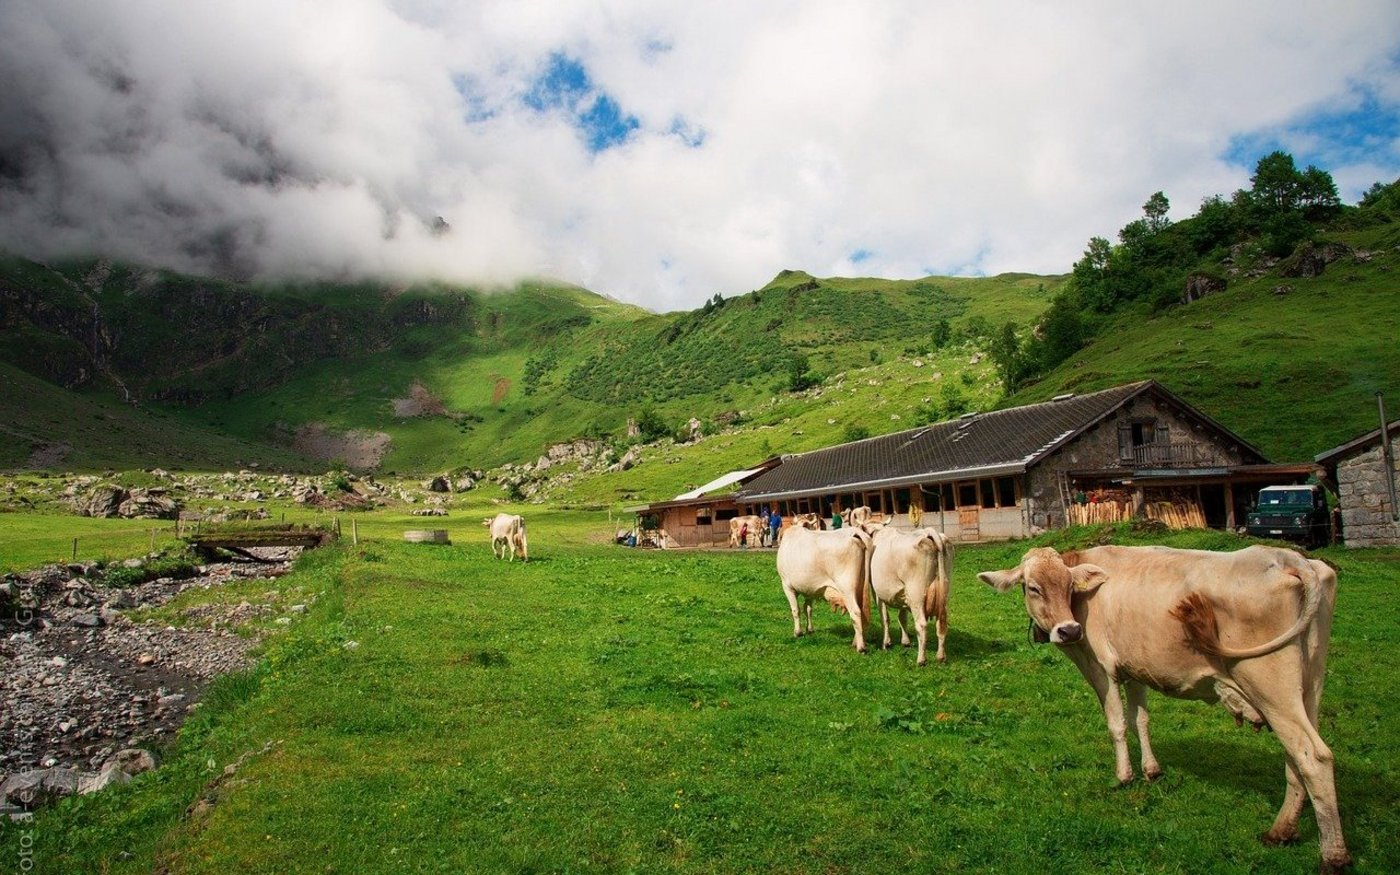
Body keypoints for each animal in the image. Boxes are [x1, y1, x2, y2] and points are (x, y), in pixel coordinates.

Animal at [869, 527, 952, 665]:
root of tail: (928, 532)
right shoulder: (903, 594)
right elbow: (902, 617)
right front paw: (905, 641)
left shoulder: (877, 594)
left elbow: (885, 618)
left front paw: (886, 643)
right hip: (944, 592)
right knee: (942, 624)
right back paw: (941, 656)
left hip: (916, 594)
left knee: (921, 624)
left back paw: (921, 659)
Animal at [978, 545, 1349, 874]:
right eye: (1034, 587)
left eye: (1069, 587)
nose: (1069, 630)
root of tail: (1289, 558)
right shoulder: (1134, 668)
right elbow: (1140, 719)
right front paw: (1151, 770)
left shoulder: (1102, 668)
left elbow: (1117, 723)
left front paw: (1124, 776)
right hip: (1309, 685)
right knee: (1296, 757)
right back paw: (1281, 831)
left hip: (1270, 685)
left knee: (1313, 757)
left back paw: (1332, 855)